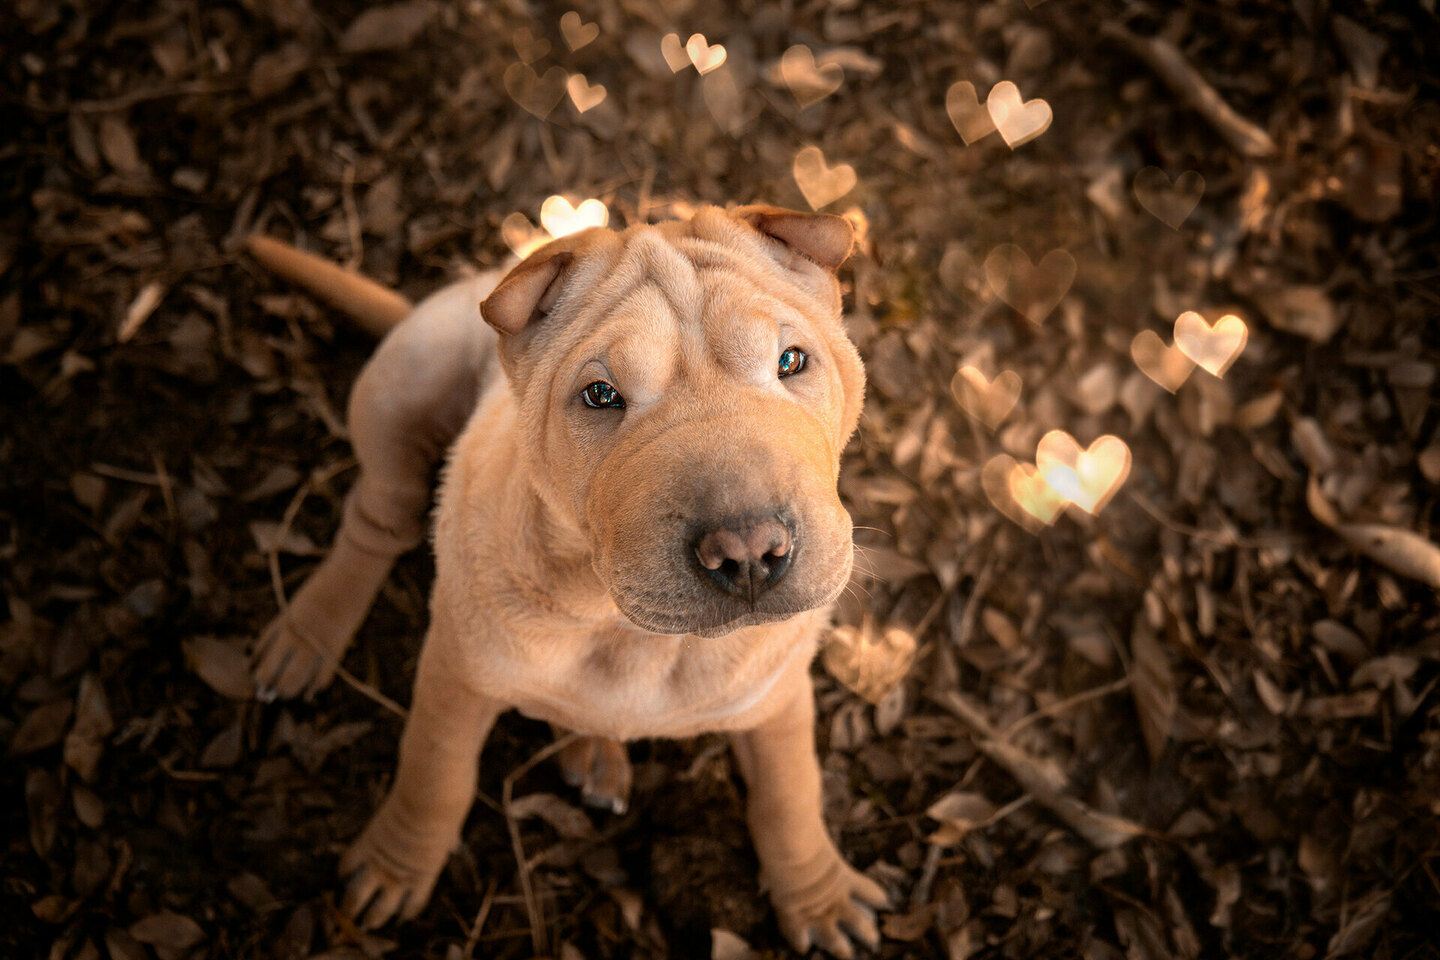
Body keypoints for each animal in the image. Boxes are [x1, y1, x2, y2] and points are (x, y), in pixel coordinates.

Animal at [246, 202, 881, 955]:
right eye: (600, 396)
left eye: (791, 362)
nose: (749, 550)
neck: (635, 635)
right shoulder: (458, 670)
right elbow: (434, 774)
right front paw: (395, 864)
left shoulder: (777, 695)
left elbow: (791, 794)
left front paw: (820, 898)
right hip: (403, 388)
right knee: (376, 520)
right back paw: (306, 636)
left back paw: (591, 748)